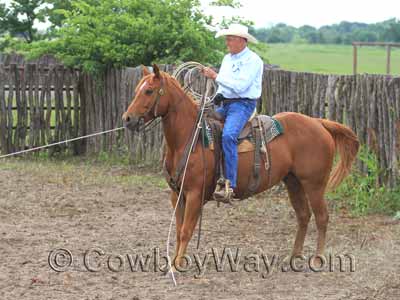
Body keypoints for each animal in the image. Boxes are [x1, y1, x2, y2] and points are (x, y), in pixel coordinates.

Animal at [122, 63, 360, 270]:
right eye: (136, 90)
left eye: (149, 91)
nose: (128, 119)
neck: (189, 138)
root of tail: (319, 123)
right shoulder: (177, 194)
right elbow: (178, 229)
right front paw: (173, 261)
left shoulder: (195, 194)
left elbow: (185, 230)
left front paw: (178, 265)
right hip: (293, 182)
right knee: (303, 215)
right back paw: (294, 256)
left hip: (314, 184)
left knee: (322, 217)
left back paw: (317, 259)